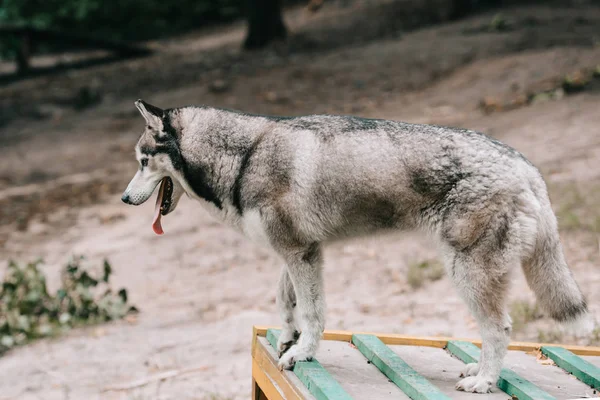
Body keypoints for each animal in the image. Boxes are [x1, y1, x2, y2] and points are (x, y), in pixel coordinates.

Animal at [122, 100, 592, 394]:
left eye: (143, 162)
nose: (124, 199)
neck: (246, 157)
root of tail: (525, 166)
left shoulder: (302, 253)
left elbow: (314, 313)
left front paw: (302, 353)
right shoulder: (297, 253)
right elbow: (286, 302)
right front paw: (288, 341)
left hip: (468, 274)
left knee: (501, 329)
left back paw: (484, 382)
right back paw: (477, 369)